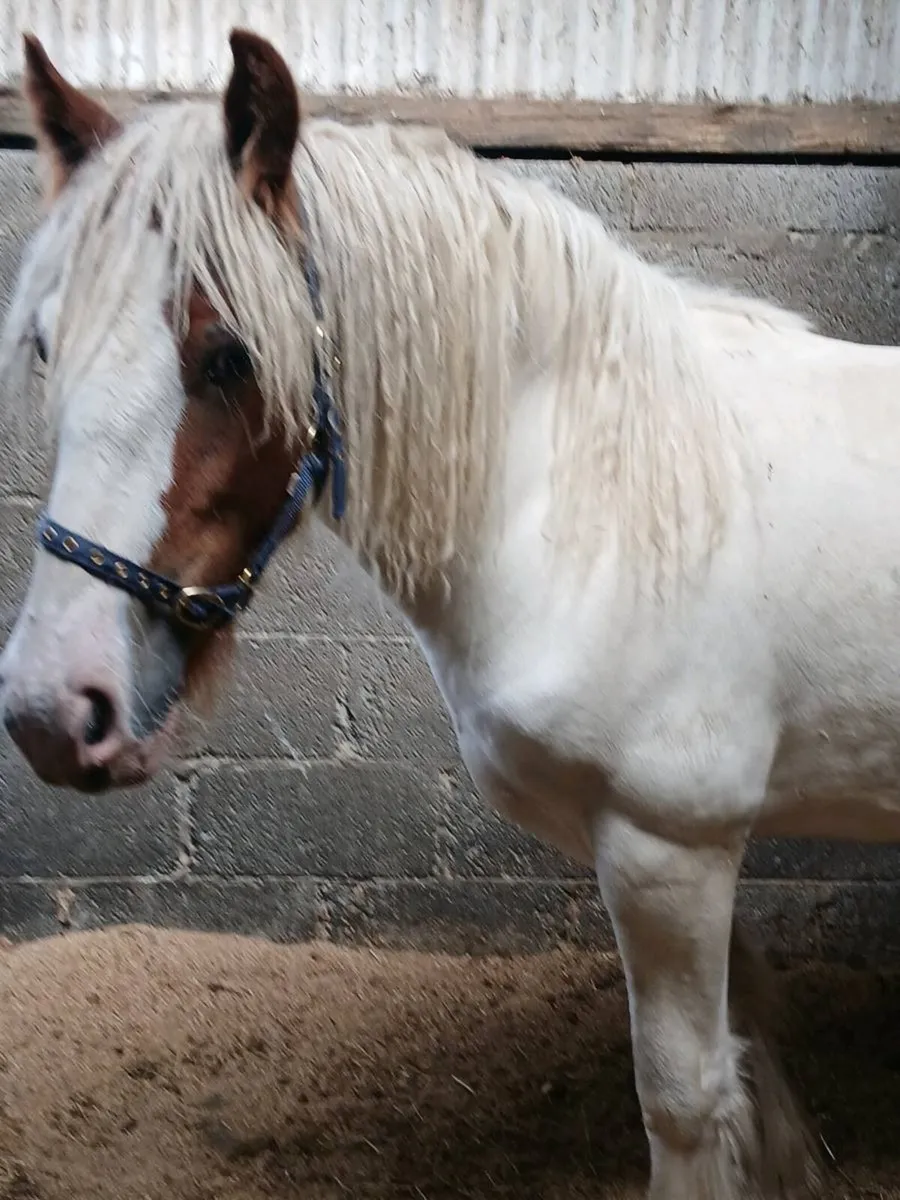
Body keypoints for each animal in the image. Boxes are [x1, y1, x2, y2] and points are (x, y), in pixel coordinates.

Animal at [6, 25, 900, 1198]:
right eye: (44, 345)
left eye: (229, 354)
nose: (53, 711)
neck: (595, 496)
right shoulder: (699, 848)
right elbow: (748, 1047)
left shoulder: (669, 845)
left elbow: (683, 1100)